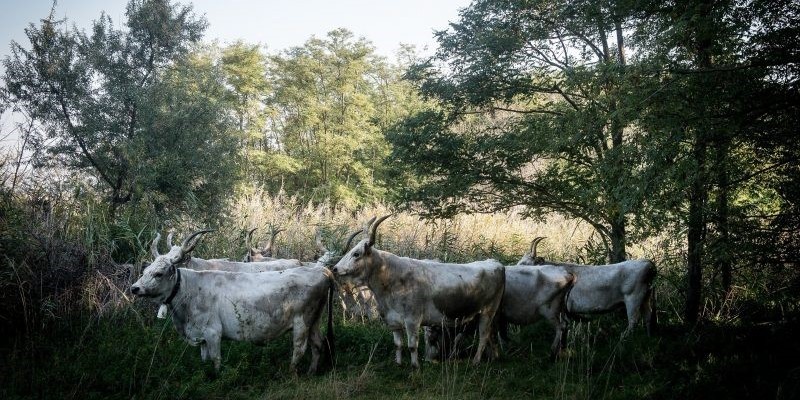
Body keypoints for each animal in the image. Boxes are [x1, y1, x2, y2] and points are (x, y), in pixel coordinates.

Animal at [133, 230, 332, 374]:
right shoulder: (201, 337)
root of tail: (320, 270)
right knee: (318, 344)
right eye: (145, 271)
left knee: (299, 349)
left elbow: (216, 361)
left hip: (301, 323)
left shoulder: (213, 333)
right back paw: (311, 372)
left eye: (158, 274)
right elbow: (204, 360)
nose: (135, 288)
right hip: (314, 321)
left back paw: (291, 374)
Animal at [332, 216, 506, 368]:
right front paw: (398, 363)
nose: (335, 268)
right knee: (490, 335)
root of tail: (494, 262)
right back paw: (493, 357)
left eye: (356, 254)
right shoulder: (393, 321)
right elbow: (398, 344)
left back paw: (476, 361)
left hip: (488, 312)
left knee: (483, 336)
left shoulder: (412, 320)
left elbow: (412, 346)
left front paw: (415, 367)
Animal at [520, 238, 656, 338]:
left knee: (633, 320)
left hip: (633, 298)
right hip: (645, 297)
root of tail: (647, 262)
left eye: (526, 263)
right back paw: (649, 336)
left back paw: (624, 339)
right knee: (648, 316)